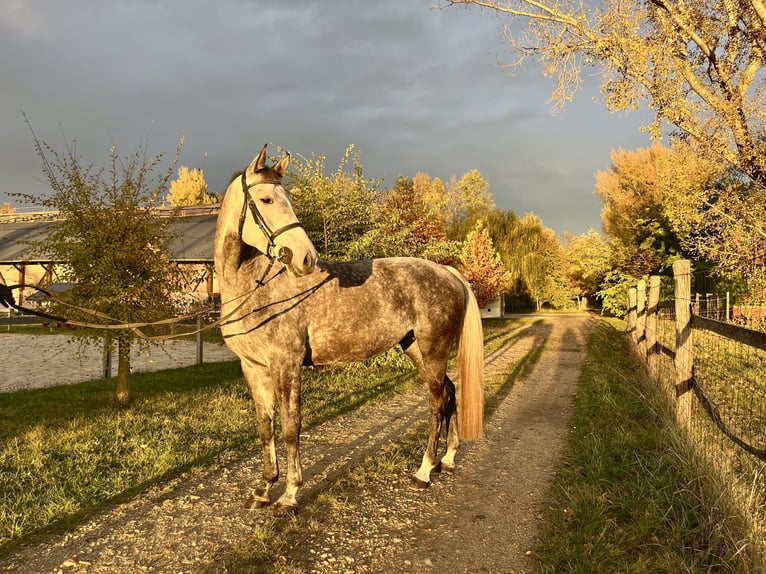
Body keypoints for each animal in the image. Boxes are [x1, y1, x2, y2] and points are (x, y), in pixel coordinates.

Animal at [214, 144, 484, 512]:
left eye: (287, 200)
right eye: (267, 200)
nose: (305, 258)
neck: (256, 288)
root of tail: (448, 272)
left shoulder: (286, 364)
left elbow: (290, 427)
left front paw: (289, 494)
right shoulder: (253, 367)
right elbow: (265, 427)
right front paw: (263, 489)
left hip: (434, 350)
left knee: (438, 401)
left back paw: (424, 471)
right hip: (415, 348)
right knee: (451, 392)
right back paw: (449, 459)